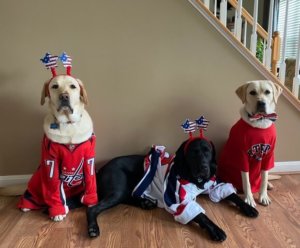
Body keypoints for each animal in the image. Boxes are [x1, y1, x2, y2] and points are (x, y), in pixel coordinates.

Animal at [86, 140, 258, 242]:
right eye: (193, 152)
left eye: (207, 151)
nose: (203, 167)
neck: (194, 178)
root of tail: (100, 169)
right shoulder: (179, 199)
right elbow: (201, 216)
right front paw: (216, 229)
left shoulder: (214, 184)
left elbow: (233, 195)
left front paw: (249, 207)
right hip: (118, 188)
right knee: (92, 208)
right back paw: (93, 228)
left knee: (127, 198)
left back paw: (145, 203)